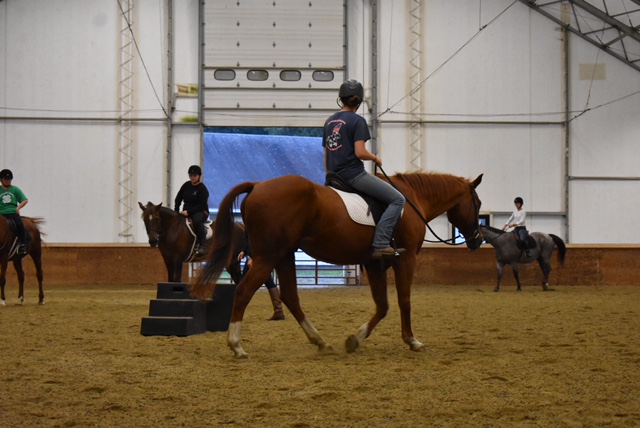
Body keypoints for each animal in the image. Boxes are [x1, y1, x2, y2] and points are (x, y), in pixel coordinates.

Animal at [190, 172, 484, 358]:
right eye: (477, 203)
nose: (478, 240)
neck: (411, 200)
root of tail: (258, 185)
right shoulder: (406, 258)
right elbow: (404, 301)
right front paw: (412, 340)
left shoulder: (374, 264)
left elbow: (383, 305)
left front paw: (355, 339)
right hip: (268, 257)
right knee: (243, 291)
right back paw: (236, 345)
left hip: (283, 256)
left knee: (290, 297)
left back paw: (320, 342)